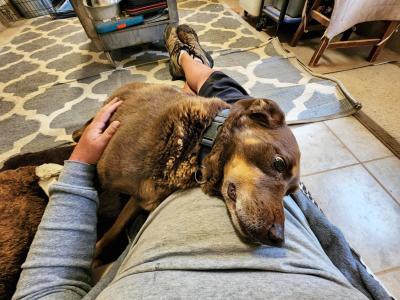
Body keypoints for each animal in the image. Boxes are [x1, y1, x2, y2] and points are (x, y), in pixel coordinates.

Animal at [74, 82, 300, 258]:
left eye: (290, 192)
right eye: (279, 163)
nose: (278, 238)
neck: (199, 141)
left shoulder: (138, 200)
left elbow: (113, 232)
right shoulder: (102, 176)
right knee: (86, 126)